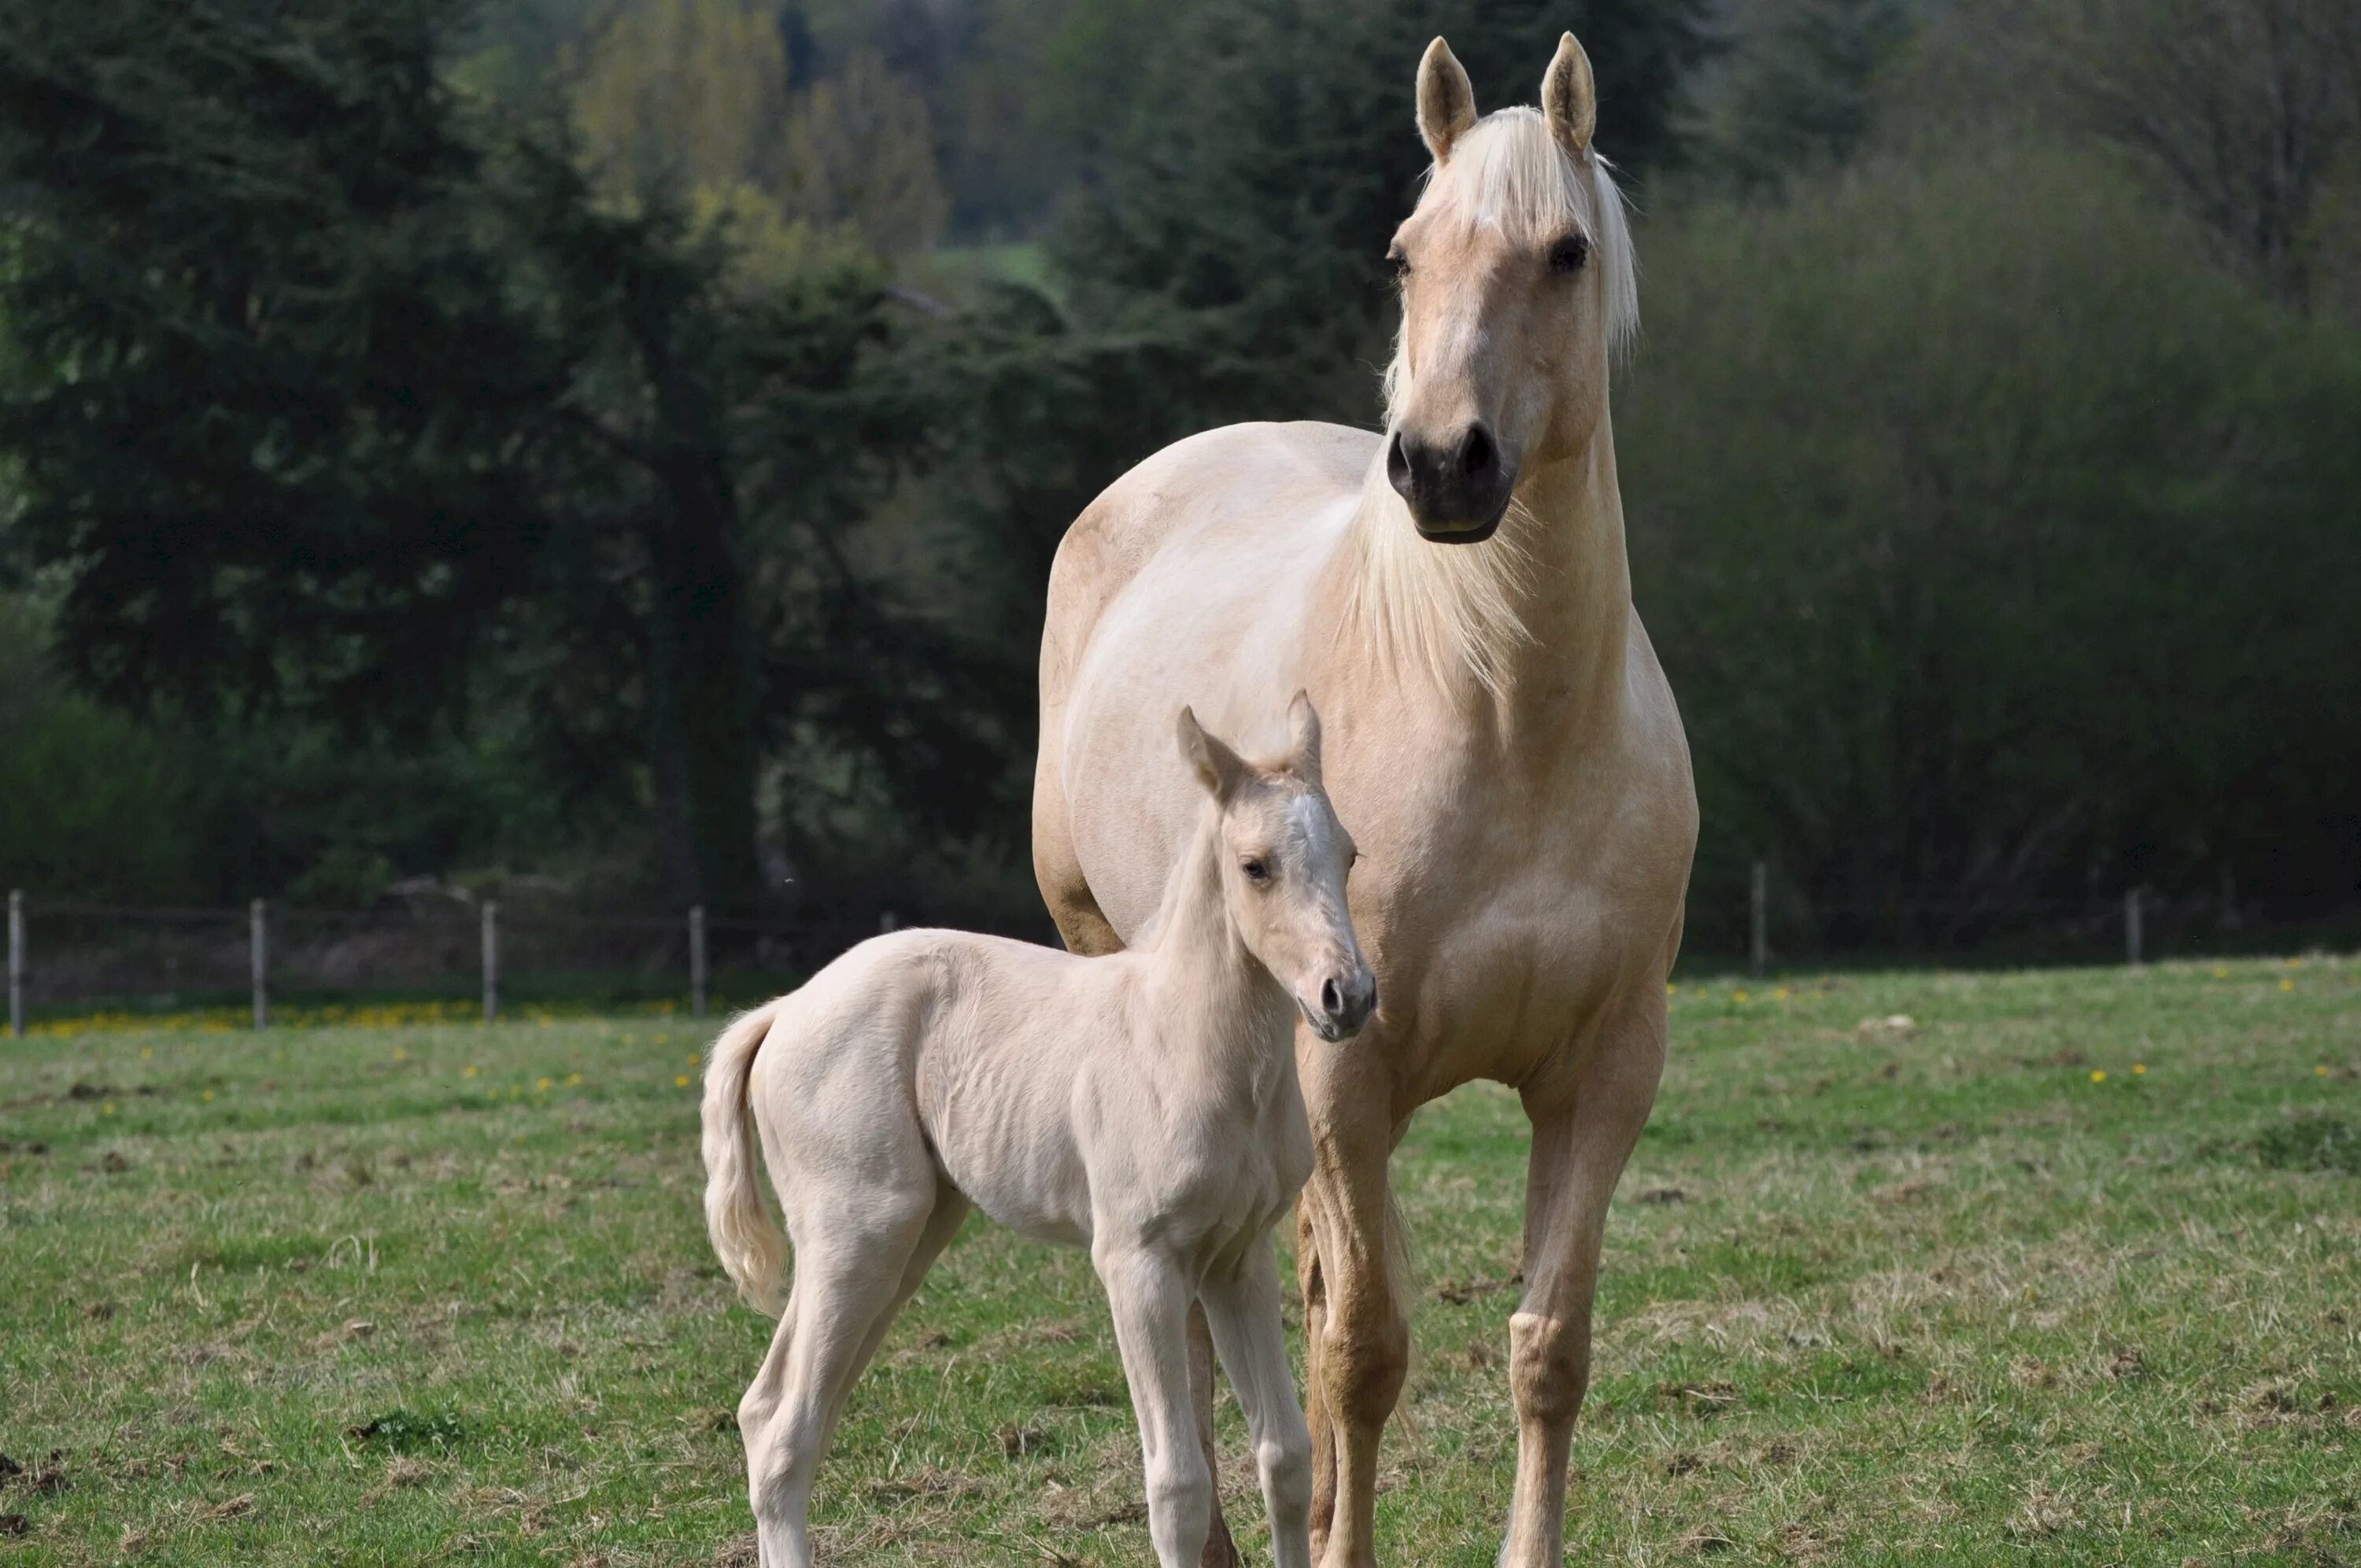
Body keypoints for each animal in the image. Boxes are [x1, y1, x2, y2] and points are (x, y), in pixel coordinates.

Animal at [699, 699, 1379, 1568]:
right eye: (1256, 866)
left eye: (1348, 855)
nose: (1346, 996)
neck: (1183, 1040)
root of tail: (784, 1009)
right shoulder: (1137, 1260)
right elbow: (1177, 1487)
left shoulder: (1237, 1258)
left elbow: (1286, 1455)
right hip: (858, 1231)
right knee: (787, 1429)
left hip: (905, 1237)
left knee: (773, 1411)